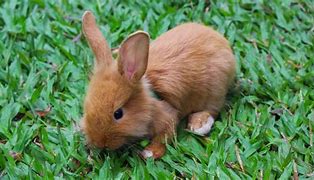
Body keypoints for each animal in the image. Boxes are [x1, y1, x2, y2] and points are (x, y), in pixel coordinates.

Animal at [81, 10, 236, 159]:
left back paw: (199, 125)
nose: (100, 143)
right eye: (86, 107)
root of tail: (222, 42)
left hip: (215, 89)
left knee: (213, 108)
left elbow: (163, 138)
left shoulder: (168, 117)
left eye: (118, 114)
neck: (150, 103)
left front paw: (149, 153)